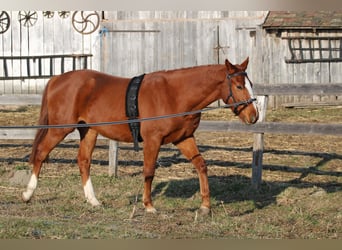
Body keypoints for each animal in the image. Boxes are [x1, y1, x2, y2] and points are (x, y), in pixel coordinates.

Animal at [22, 57, 258, 215]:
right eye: (238, 86)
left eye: (250, 84)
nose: (253, 116)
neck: (174, 94)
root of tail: (57, 79)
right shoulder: (153, 141)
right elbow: (149, 172)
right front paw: (149, 205)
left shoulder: (184, 138)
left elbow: (201, 165)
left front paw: (205, 206)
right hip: (59, 129)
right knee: (41, 153)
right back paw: (27, 194)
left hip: (88, 131)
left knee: (83, 161)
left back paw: (93, 201)